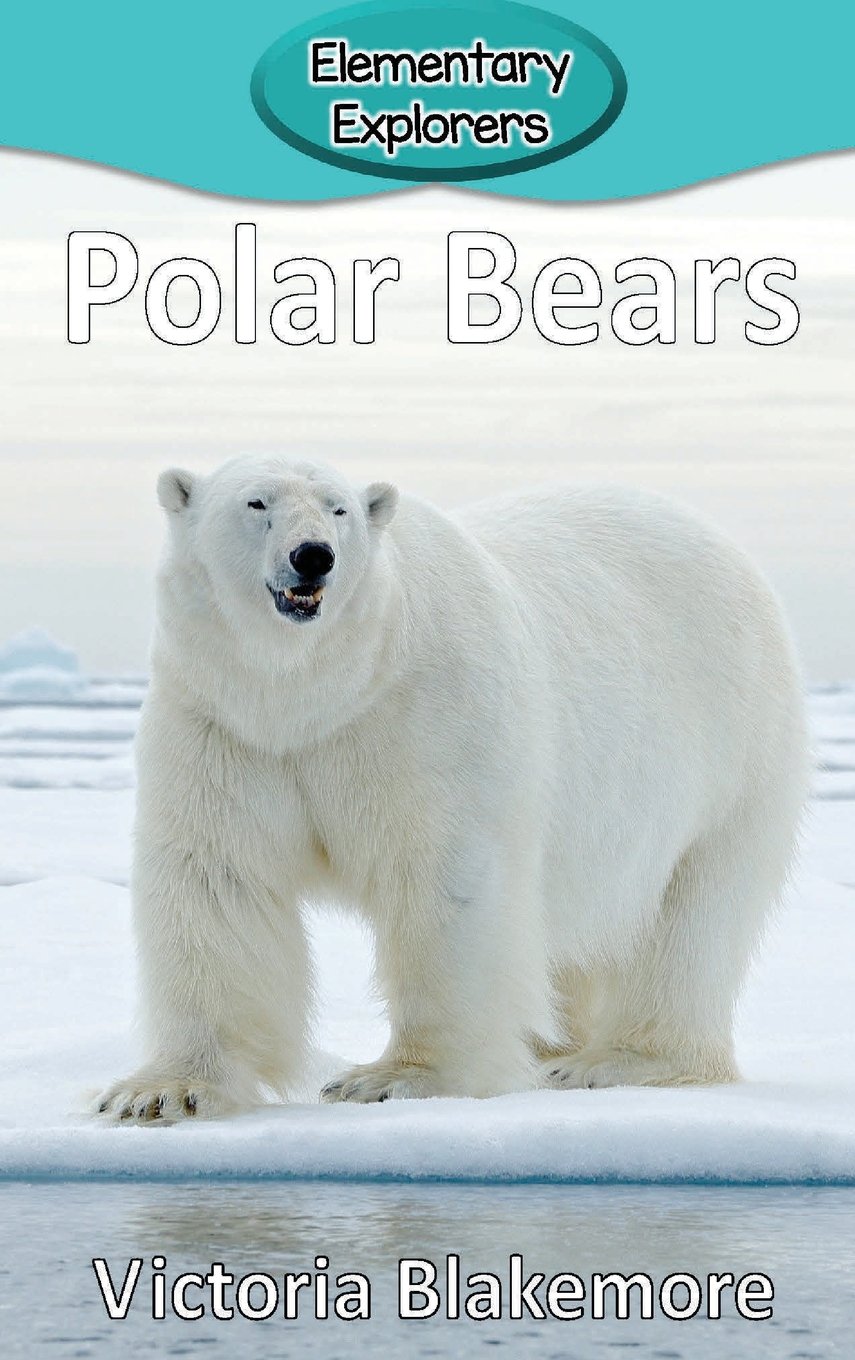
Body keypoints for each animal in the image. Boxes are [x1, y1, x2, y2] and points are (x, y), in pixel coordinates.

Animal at [96, 455, 809, 1122]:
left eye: (338, 509)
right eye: (256, 502)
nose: (313, 556)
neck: (320, 691)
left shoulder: (425, 715)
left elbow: (446, 881)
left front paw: (396, 1078)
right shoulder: (226, 725)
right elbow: (219, 877)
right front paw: (161, 1092)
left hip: (730, 751)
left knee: (691, 916)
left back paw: (614, 1060)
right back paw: (552, 1047)